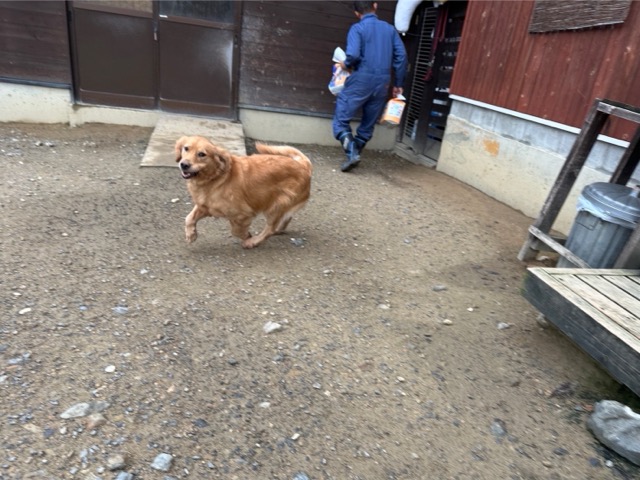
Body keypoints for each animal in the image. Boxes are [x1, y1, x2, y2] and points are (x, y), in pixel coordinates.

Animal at [175, 135, 312, 249]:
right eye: (186, 148)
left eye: (202, 154)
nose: (184, 164)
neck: (215, 179)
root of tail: (303, 165)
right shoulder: (205, 206)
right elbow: (189, 218)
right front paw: (191, 234)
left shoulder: (243, 213)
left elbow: (236, 230)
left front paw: (247, 237)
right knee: (285, 219)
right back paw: (279, 229)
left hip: (276, 205)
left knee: (270, 229)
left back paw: (253, 242)